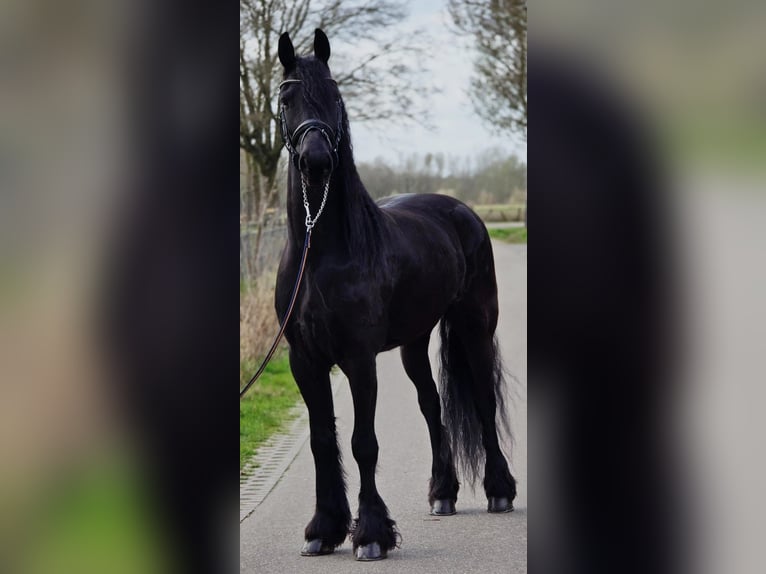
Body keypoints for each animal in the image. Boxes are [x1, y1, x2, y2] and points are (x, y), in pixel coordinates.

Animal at [274, 28, 516, 561]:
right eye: (285, 98)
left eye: (336, 96)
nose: (316, 161)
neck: (322, 253)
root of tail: (462, 212)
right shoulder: (305, 360)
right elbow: (323, 440)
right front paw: (323, 529)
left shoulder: (359, 358)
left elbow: (364, 443)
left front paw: (370, 535)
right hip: (412, 344)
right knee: (432, 404)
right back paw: (443, 494)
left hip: (474, 327)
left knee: (483, 400)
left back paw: (500, 491)